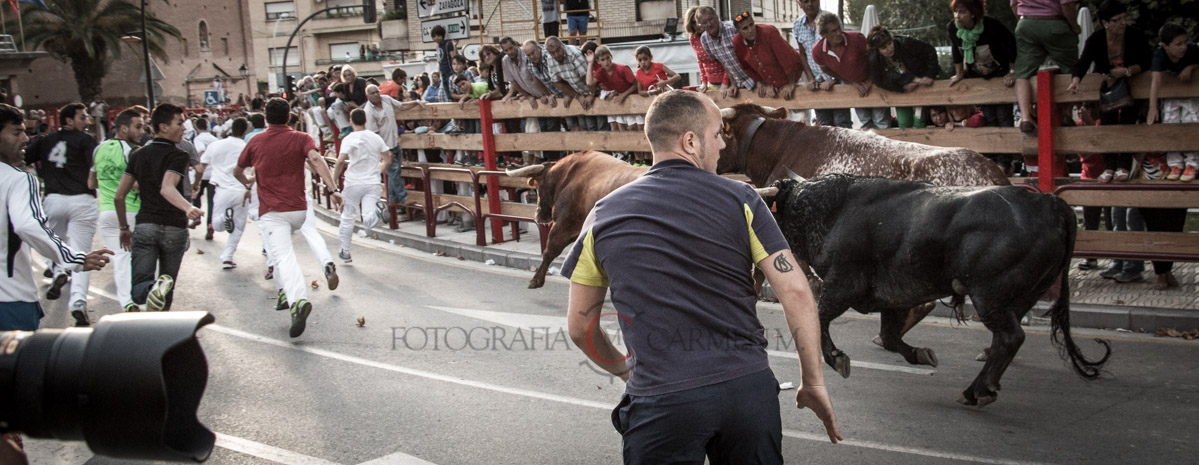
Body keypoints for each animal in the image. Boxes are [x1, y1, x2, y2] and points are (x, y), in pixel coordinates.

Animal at [759, 174, 1110, 408]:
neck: (831, 210)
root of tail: (1050, 202)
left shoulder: (843, 284)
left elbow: (819, 320)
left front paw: (836, 358)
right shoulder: (894, 297)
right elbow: (889, 336)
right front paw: (921, 354)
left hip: (990, 297)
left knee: (1011, 338)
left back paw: (977, 391)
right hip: (1021, 296)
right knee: (1004, 340)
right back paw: (984, 382)